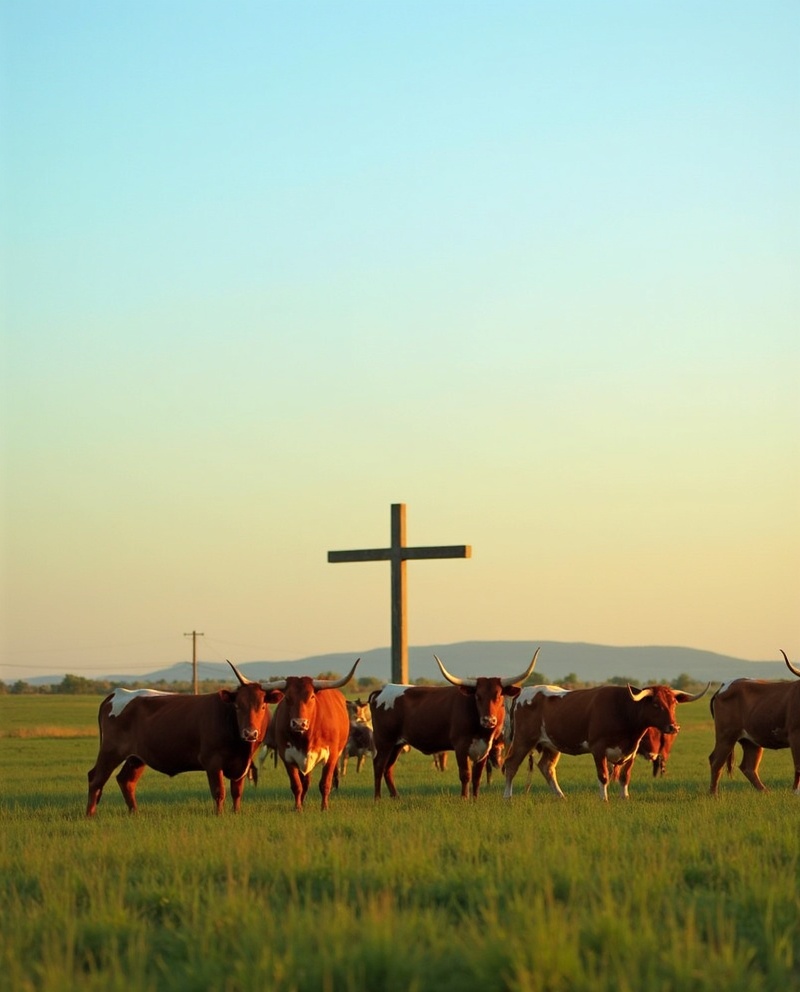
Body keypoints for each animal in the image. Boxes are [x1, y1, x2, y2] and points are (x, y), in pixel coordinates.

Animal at [86, 661, 283, 816]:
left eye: (262, 706)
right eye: (237, 706)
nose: (250, 733)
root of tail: (118, 693)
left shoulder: (242, 765)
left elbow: (237, 792)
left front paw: (236, 813)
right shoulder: (212, 762)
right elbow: (219, 791)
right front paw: (219, 815)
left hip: (137, 757)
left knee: (126, 780)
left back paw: (135, 813)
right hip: (111, 751)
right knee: (96, 779)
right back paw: (90, 815)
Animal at [265, 660, 359, 810]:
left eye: (312, 696)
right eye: (287, 698)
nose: (299, 723)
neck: (304, 738)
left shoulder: (331, 755)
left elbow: (325, 784)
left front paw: (324, 808)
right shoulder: (287, 756)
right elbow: (297, 785)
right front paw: (298, 808)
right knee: (305, 782)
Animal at [370, 648, 540, 800]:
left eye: (498, 696)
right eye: (478, 696)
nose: (488, 720)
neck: (481, 730)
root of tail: (382, 690)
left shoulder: (485, 748)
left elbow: (477, 777)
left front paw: (475, 799)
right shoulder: (461, 746)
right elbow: (465, 774)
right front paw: (464, 798)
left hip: (397, 744)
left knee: (388, 768)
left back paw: (395, 797)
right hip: (384, 740)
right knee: (379, 765)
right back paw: (377, 798)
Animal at [503, 681, 708, 801]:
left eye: (673, 703)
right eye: (656, 704)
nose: (674, 727)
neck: (624, 710)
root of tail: (523, 692)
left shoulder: (631, 751)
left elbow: (624, 776)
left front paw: (625, 798)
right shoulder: (598, 748)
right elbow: (603, 776)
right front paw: (604, 799)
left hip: (551, 745)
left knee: (546, 767)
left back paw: (561, 797)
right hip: (523, 740)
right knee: (511, 765)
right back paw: (508, 797)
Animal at [708, 650, 800, 795]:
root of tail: (725, 685)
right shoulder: (795, 735)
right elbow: (798, 765)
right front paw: (796, 792)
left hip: (751, 740)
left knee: (748, 767)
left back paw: (765, 792)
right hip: (726, 735)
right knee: (716, 761)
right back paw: (713, 794)